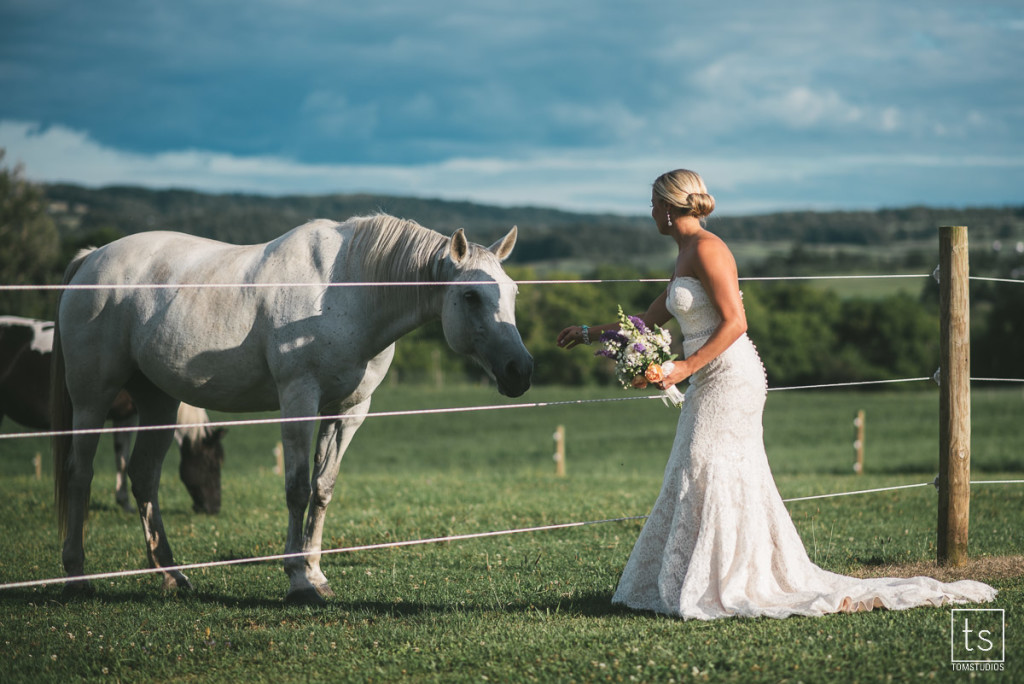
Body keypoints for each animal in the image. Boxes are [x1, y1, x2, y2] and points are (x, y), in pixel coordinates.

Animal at [54, 214, 536, 602]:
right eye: (471, 296)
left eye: (513, 291)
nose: (520, 370)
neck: (345, 290)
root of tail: (92, 259)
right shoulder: (299, 400)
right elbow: (296, 489)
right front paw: (298, 581)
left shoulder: (347, 412)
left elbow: (323, 489)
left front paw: (316, 573)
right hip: (92, 399)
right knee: (81, 475)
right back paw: (77, 578)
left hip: (158, 400)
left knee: (144, 477)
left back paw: (172, 576)